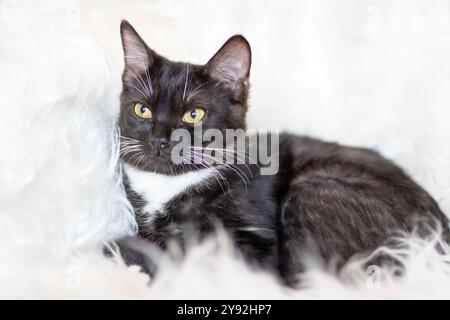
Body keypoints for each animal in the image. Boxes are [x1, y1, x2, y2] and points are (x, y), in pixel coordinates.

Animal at [112, 20, 450, 284]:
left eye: (193, 114)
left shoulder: (256, 245)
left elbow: (185, 247)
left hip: (316, 189)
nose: (159, 140)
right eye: (142, 110)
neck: (170, 184)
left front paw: (123, 246)